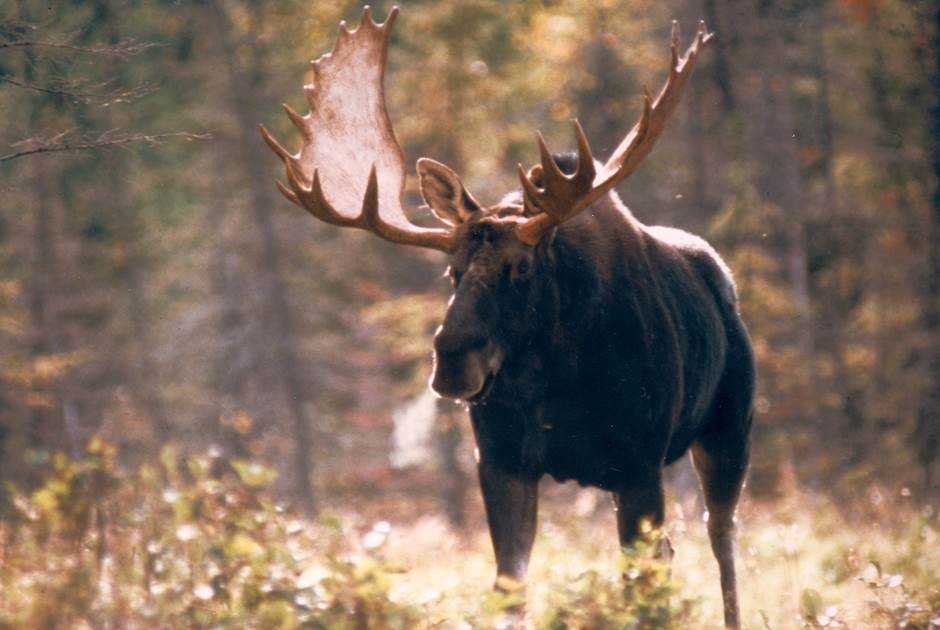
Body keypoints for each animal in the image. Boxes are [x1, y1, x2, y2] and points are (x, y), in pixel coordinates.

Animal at [262, 6, 756, 630]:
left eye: (520, 269)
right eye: (451, 272)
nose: (451, 359)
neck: (556, 383)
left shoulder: (639, 461)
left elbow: (640, 587)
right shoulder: (500, 460)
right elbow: (510, 584)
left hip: (728, 427)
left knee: (722, 538)